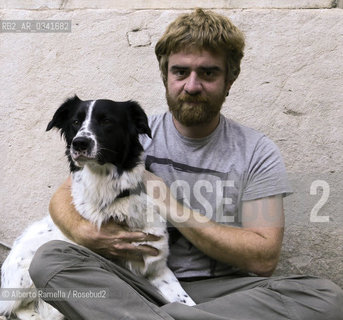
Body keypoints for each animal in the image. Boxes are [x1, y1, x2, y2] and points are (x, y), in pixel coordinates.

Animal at [0, 96, 194, 320]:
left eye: (106, 121)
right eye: (75, 122)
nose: (80, 143)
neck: (110, 196)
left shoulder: (158, 268)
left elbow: (187, 302)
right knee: (17, 308)